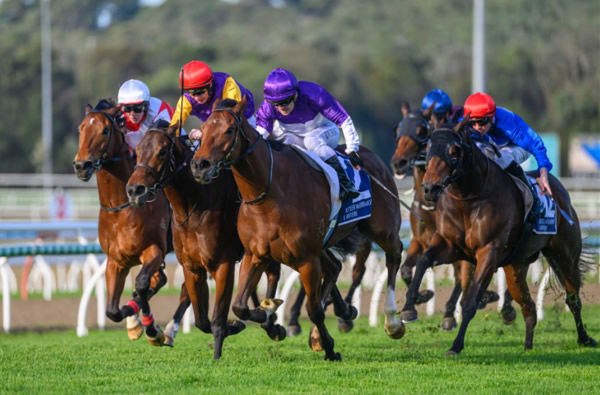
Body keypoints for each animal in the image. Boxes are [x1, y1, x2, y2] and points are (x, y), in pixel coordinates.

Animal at [74, 100, 189, 346]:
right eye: (81, 128)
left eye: (104, 130)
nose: (81, 165)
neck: (121, 208)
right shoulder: (115, 261)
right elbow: (112, 310)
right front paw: (134, 323)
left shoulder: (154, 250)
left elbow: (143, 283)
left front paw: (151, 329)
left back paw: (170, 330)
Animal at [124, 123, 282, 358]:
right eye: (139, 149)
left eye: (162, 151)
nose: (135, 190)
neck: (193, 208)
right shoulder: (192, 266)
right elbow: (201, 320)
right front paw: (233, 325)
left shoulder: (223, 264)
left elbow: (217, 317)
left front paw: (218, 353)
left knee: (274, 274)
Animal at [189, 99, 404, 362]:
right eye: (203, 129)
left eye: (229, 130)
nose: (200, 165)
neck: (269, 195)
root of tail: (372, 156)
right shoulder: (255, 254)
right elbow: (240, 306)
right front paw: (266, 313)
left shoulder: (306, 259)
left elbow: (314, 310)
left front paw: (329, 348)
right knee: (335, 267)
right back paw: (341, 313)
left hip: (383, 229)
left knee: (394, 256)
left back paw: (392, 321)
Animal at [390, 106, 516, 332]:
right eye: (398, 129)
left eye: (422, 130)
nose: (398, 162)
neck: (432, 206)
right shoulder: (421, 240)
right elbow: (406, 269)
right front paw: (422, 296)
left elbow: (462, 278)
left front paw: (450, 313)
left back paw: (506, 306)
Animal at [398, 120, 596, 356]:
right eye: (428, 149)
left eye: (454, 151)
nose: (430, 188)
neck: (468, 199)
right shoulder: (448, 245)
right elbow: (422, 262)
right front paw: (408, 308)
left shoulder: (488, 252)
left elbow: (470, 302)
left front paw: (456, 345)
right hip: (516, 266)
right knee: (529, 307)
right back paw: (527, 347)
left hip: (564, 255)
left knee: (573, 298)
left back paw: (585, 339)